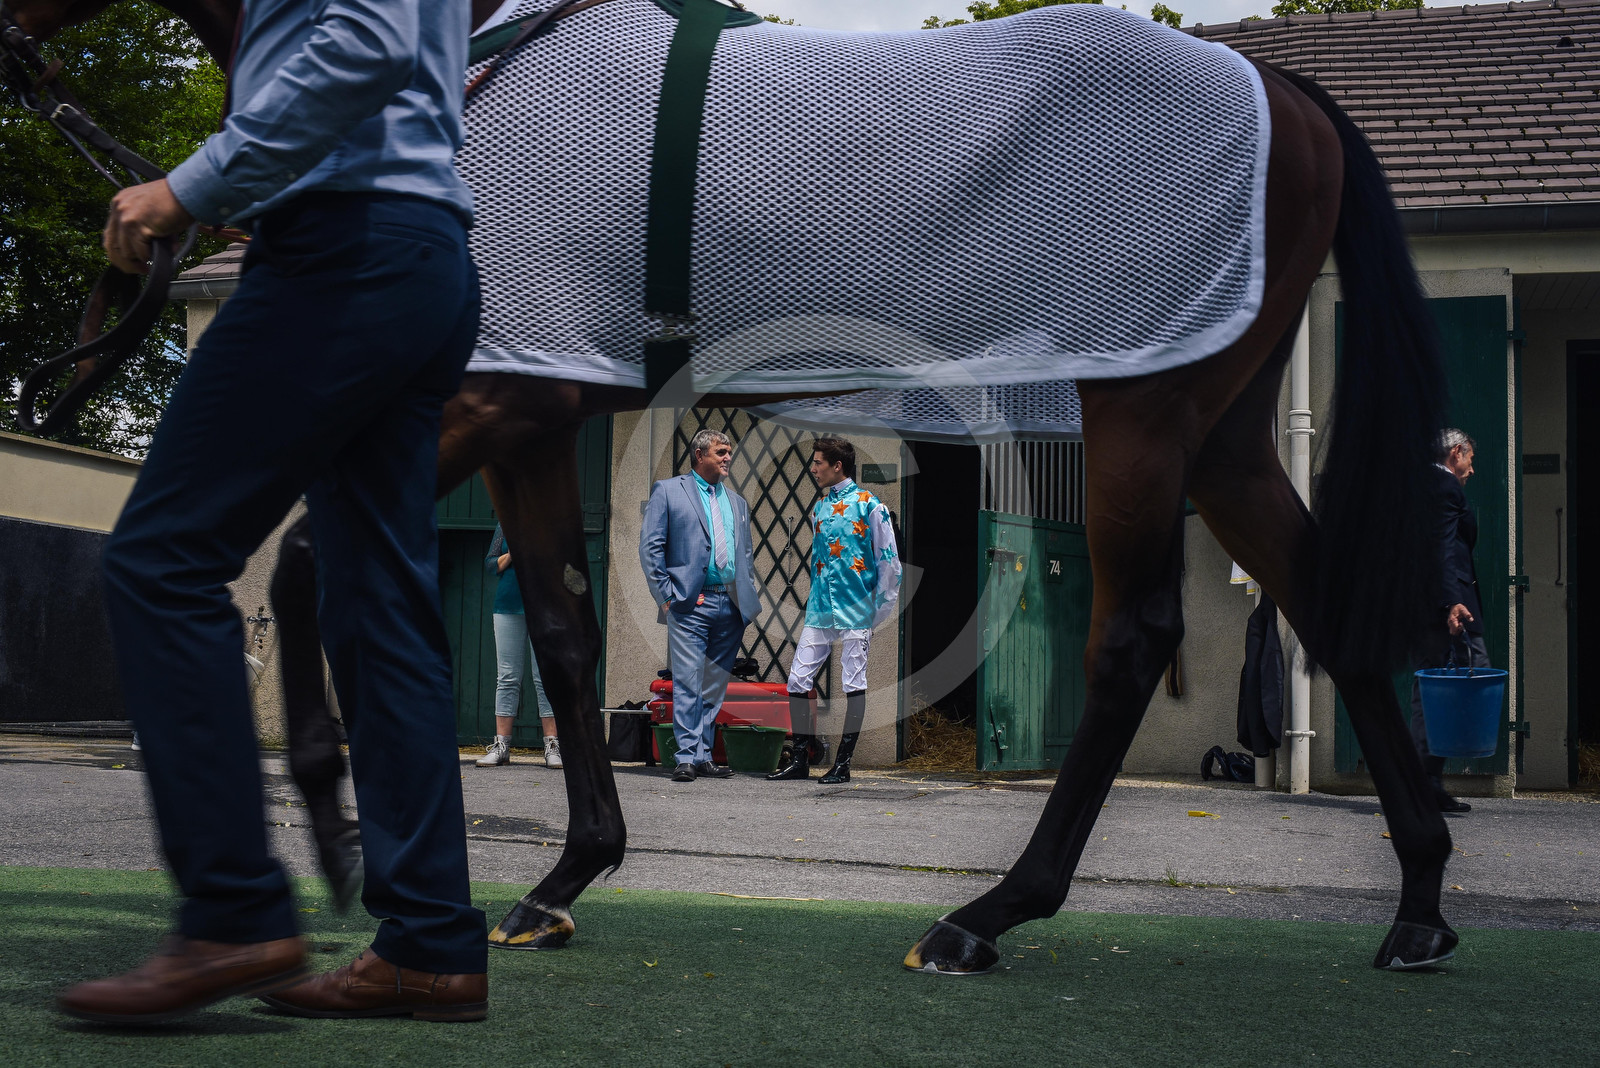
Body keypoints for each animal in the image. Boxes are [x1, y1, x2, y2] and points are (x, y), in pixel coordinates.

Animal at [7, 0, 1461, 975]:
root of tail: (1287, 91)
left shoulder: (486, 394)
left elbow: (311, 563)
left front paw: (343, 842)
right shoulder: (535, 413)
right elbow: (563, 630)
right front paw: (563, 874)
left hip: (1140, 414)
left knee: (1133, 637)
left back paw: (986, 917)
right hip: (1222, 434)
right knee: (1325, 606)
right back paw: (1420, 910)